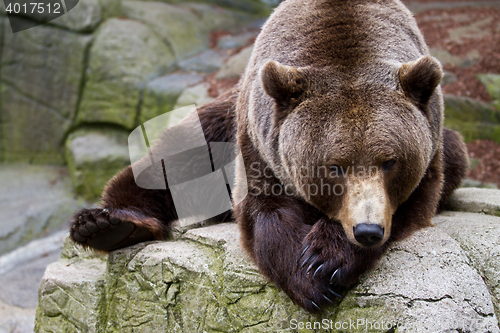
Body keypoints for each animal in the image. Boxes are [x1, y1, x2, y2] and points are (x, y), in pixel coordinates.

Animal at [69, 0, 468, 312]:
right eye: (335, 167)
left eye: (390, 162)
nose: (367, 230)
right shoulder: (258, 142)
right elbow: (265, 211)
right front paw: (310, 276)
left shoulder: (430, 148)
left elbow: (411, 201)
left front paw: (327, 257)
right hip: (222, 124)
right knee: (174, 158)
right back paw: (108, 224)